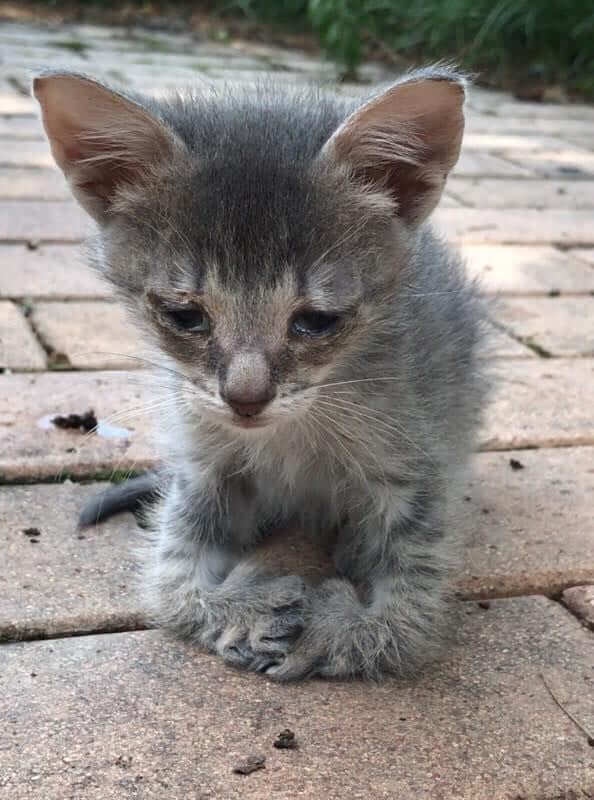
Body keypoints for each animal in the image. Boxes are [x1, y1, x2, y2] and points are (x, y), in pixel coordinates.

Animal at [33, 69, 486, 680]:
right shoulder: (202, 461)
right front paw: (237, 606)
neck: (291, 437)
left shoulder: (416, 460)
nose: (245, 398)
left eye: (316, 321)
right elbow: (171, 583)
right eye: (185, 316)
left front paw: (339, 628)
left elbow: (409, 609)